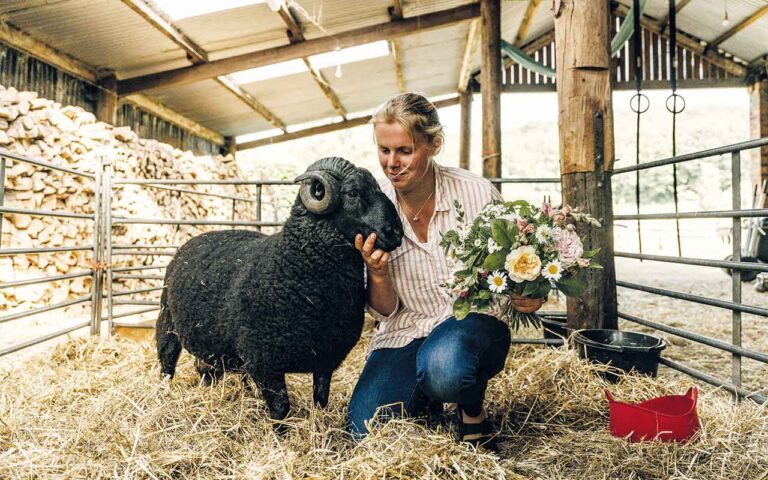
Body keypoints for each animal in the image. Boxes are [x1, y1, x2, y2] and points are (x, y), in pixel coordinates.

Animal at [155, 157, 403, 425]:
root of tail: (192, 240)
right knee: (167, 362)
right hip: (167, 322)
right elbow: (280, 410)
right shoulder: (264, 363)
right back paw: (164, 394)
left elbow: (321, 400)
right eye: (352, 192)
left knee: (205, 369)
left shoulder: (325, 359)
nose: (396, 233)